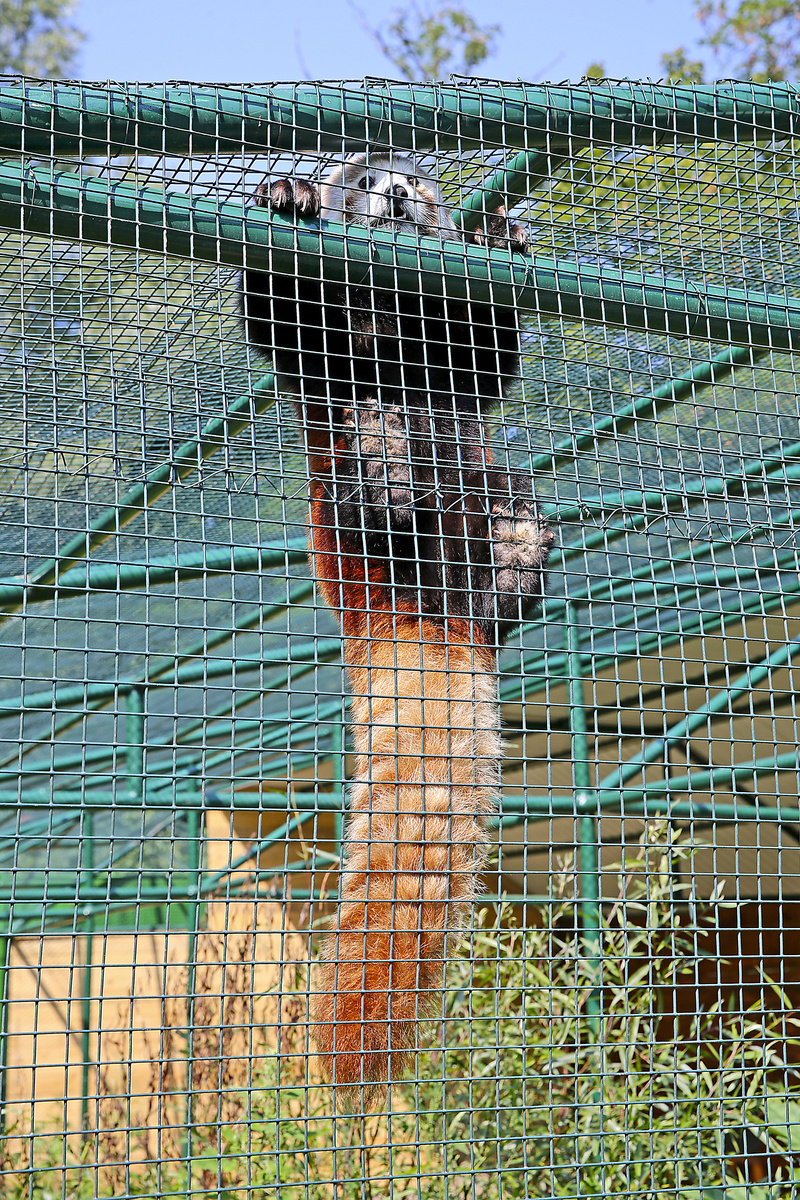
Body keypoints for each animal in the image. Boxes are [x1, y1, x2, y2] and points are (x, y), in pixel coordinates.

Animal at [239, 154, 551, 1108]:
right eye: (360, 176)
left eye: (418, 174)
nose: (400, 192)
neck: (396, 326)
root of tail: (426, 618)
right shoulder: (321, 360)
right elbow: (284, 327)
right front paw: (289, 199)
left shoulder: (458, 361)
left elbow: (491, 352)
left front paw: (502, 237)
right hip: (345, 537)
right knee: (364, 488)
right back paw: (382, 476)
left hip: (487, 494)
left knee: (502, 504)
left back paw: (513, 562)